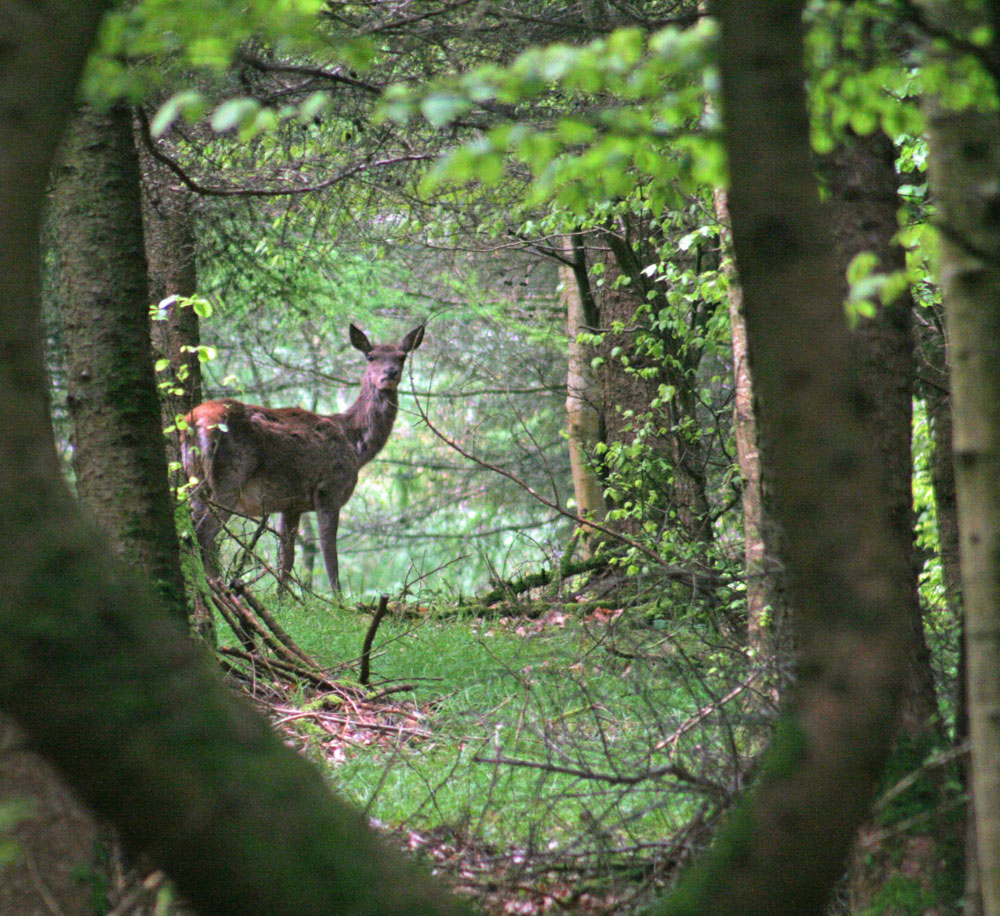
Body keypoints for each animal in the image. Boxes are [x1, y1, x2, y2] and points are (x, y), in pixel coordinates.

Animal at [182, 326, 424, 592]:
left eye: (402, 356)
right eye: (370, 356)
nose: (390, 373)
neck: (355, 445)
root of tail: (194, 421)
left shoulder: (291, 504)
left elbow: (286, 559)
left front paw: (283, 597)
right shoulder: (330, 491)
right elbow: (330, 558)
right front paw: (337, 599)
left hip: (195, 479)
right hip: (229, 479)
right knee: (203, 533)